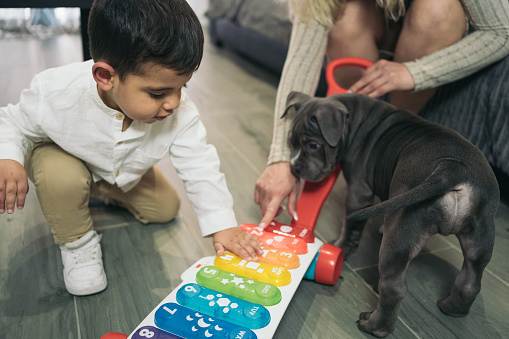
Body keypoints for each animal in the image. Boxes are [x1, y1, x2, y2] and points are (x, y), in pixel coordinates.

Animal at [284, 91, 498, 338]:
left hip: (400, 235)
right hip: (480, 236)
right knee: (470, 280)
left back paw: (373, 326)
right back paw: (452, 308)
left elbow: (350, 227)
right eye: (291, 143)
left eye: (313, 145)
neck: (355, 119)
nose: (294, 168)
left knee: (393, 289)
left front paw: (341, 247)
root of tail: (452, 168)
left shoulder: (358, 192)